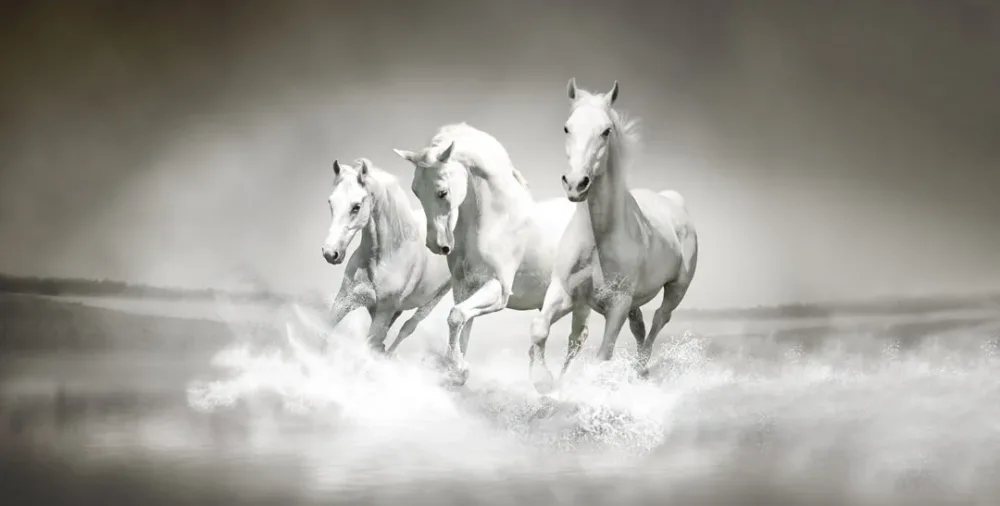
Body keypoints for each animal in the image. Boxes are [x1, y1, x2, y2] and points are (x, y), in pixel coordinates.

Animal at [320, 157, 452, 355]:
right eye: (331, 202)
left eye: (356, 207)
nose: (330, 253)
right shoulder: (344, 300)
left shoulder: (384, 312)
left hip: (433, 300)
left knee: (407, 328)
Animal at [392, 123, 587, 386]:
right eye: (415, 191)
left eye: (442, 192)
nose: (436, 245)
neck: (496, 222)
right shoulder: (464, 287)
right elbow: (462, 325)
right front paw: (456, 371)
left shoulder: (499, 289)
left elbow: (455, 317)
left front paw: (460, 368)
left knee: (577, 339)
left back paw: (557, 384)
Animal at [527, 78, 699, 392]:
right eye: (567, 127)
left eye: (605, 131)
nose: (575, 184)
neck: (598, 238)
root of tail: (673, 201)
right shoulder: (565, 291)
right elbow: (540, 329)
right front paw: (544, 381)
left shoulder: (617, 304)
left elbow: (603, 355)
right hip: (634, 301)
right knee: (639, 325)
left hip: (677, 288)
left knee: (660, 319)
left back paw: (641, 368)